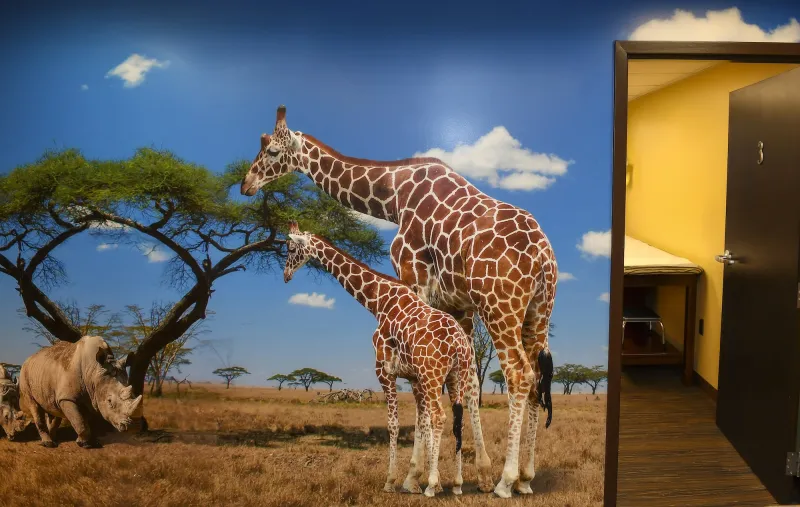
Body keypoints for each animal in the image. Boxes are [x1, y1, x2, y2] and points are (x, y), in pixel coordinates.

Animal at [282, 221, 493, 496]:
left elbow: (395, 424)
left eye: (290, 247)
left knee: (441, 416)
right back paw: (456, 484)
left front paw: (392, 481)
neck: (378, 301)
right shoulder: (414, 377)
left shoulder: (384, 371)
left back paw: (433, 486)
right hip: (457, 374)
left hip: (433, 375)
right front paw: (417, 480)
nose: (286, 274)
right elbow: (421, 421)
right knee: (458, 417)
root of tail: (459, 344)